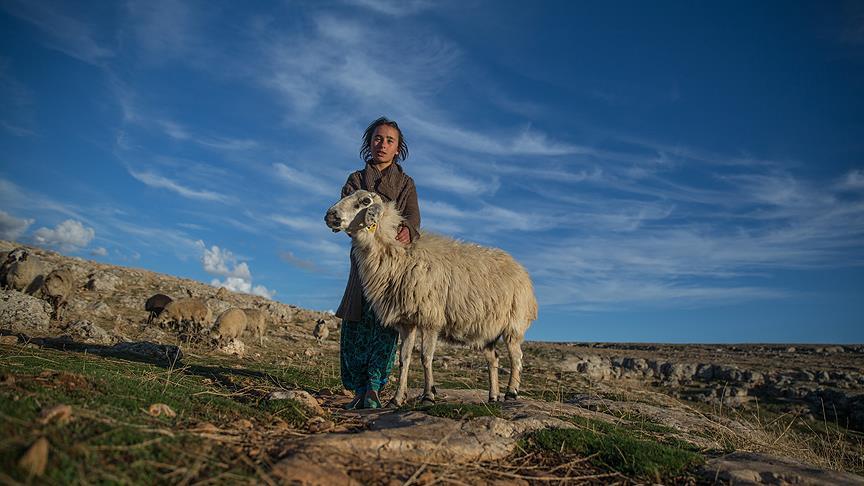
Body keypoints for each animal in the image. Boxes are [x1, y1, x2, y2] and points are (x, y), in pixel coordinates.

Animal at [328, 190, 536, 406]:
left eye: (365, 201)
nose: (330, 216)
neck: (400, 252)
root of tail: (521, 269)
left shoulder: (430, 319)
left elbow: (426, 357)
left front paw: (428, 395)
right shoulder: (407, 321)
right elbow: (404, 359)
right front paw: (397, 398)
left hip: (514, 324)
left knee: (516, 357)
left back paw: (511, 392)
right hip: (486, 329)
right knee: (493, 358)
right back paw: (493, 396)